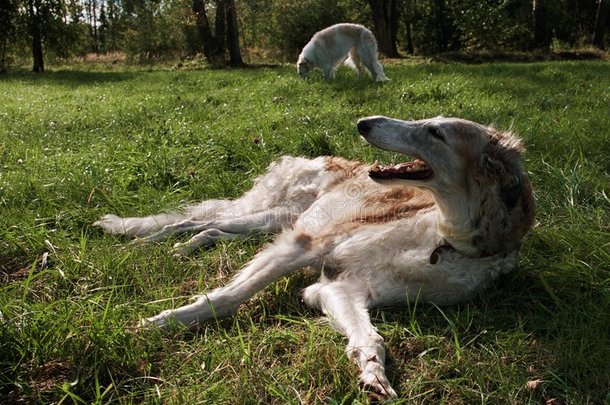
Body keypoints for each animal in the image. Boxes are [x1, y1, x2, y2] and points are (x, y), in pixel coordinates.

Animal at [94, 115, 532, 400]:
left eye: (436, 131)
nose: (363, 123)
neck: (443, 241)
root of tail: (318, 158)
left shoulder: (339, 287)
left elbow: (370, 336)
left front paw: (373, 374)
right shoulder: (308, 246)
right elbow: (228, 297)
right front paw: (157, 324)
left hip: (275, 221)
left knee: (210, 227)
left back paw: (184, 245)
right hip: (282, 220)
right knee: (191, 219)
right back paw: (136, 238)